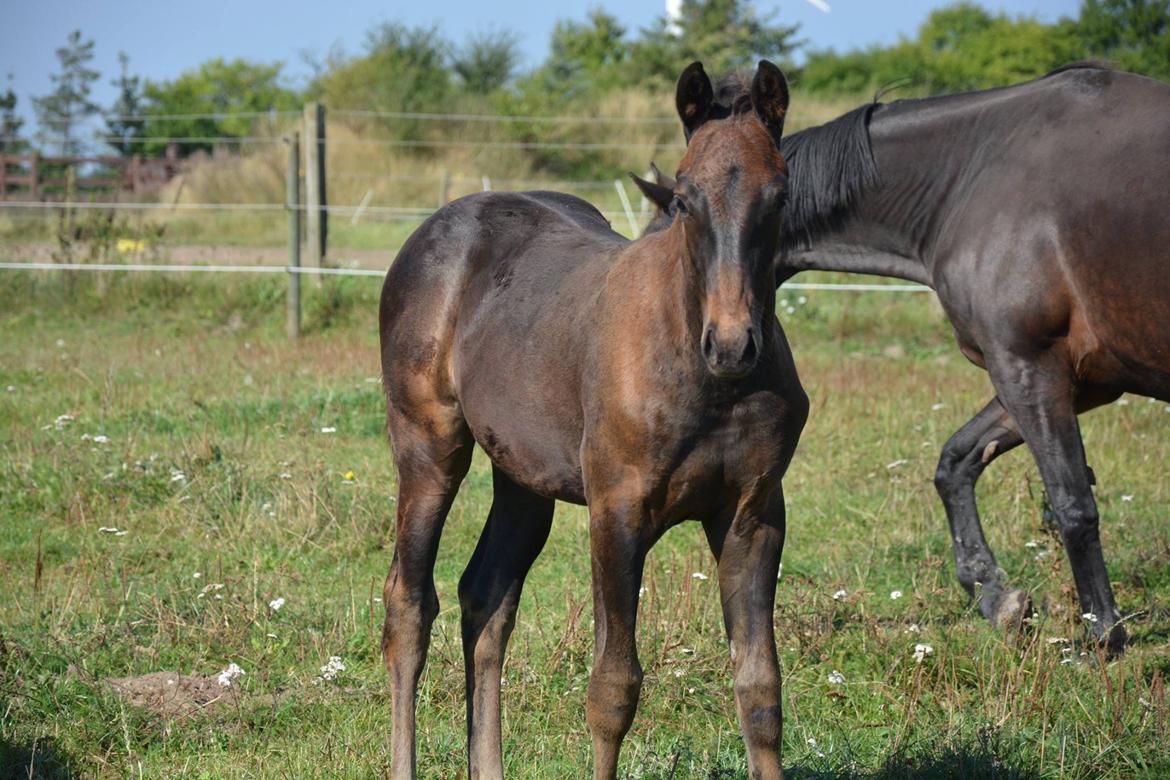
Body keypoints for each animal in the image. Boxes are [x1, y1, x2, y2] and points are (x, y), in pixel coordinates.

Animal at [379, 62, 809, 780]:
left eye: (778, 196)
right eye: (684, 199)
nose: (731, 344)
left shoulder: (752, 517)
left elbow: (761, 689)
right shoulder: (617, 512)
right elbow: (613, 689)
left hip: (522, 478)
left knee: (485, 600)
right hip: (428, 448)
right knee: (409, 606)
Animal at [641, 64, 1170, 654]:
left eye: (778, 200)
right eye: (685, 203)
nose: (729, 345)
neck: (972, 177)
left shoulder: (1030, 367)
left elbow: (1071, 502)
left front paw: (1105, 635)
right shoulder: (1075, 380)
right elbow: (956, 463)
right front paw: (996, 595)